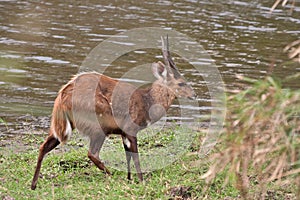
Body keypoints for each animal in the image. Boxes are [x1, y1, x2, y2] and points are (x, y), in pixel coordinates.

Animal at [30, 36, 195, 191]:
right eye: (181, 83)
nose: (194, 95)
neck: (147, 101)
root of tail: (63, 95)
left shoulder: (123, 133)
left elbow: (128, 155)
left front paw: (130, 178)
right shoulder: (130, 129)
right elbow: (135, 156)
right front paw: (141, 181)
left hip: (63, 126)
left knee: (44, 146)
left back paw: (33, 185)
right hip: (98, 126)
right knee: (92, 153)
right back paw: (110, 174)